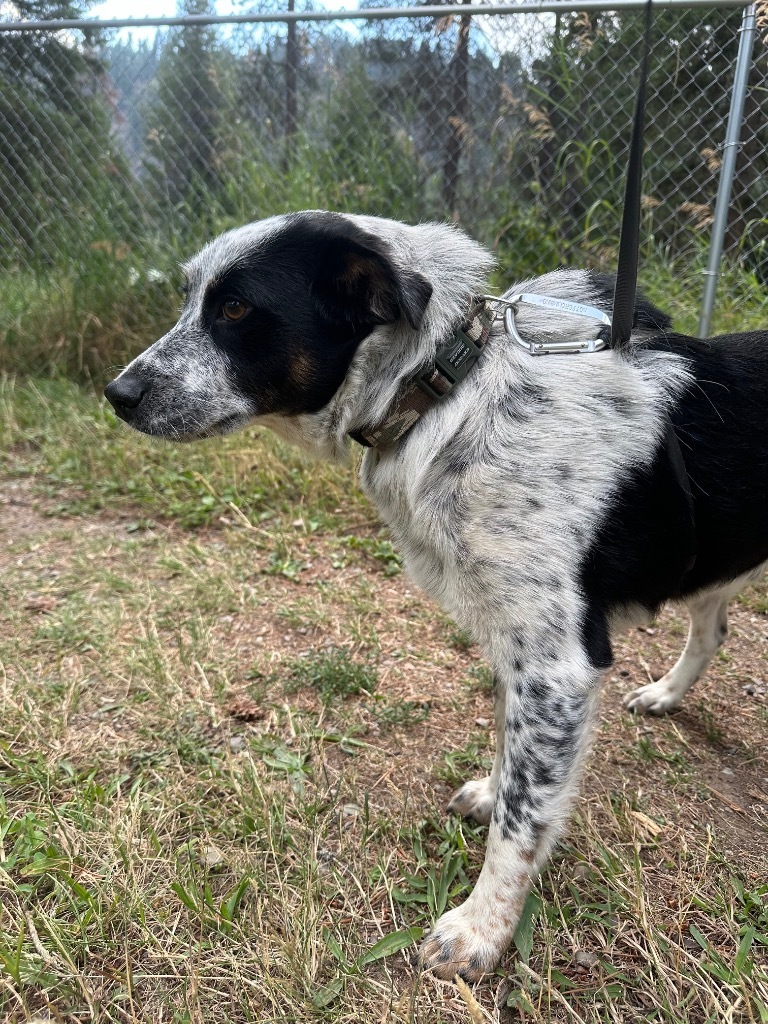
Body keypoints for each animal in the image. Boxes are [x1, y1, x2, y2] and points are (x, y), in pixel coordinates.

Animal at [107, 209, 768, 983]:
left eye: (236, 309)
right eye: (189, 299)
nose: (117, 394)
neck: (448, 391)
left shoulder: (557, 666)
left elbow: (524, 816)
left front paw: (482, 930)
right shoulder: (516, 646)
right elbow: (510, 757)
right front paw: (490, 793)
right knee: (713, 628)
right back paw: (665, 693)